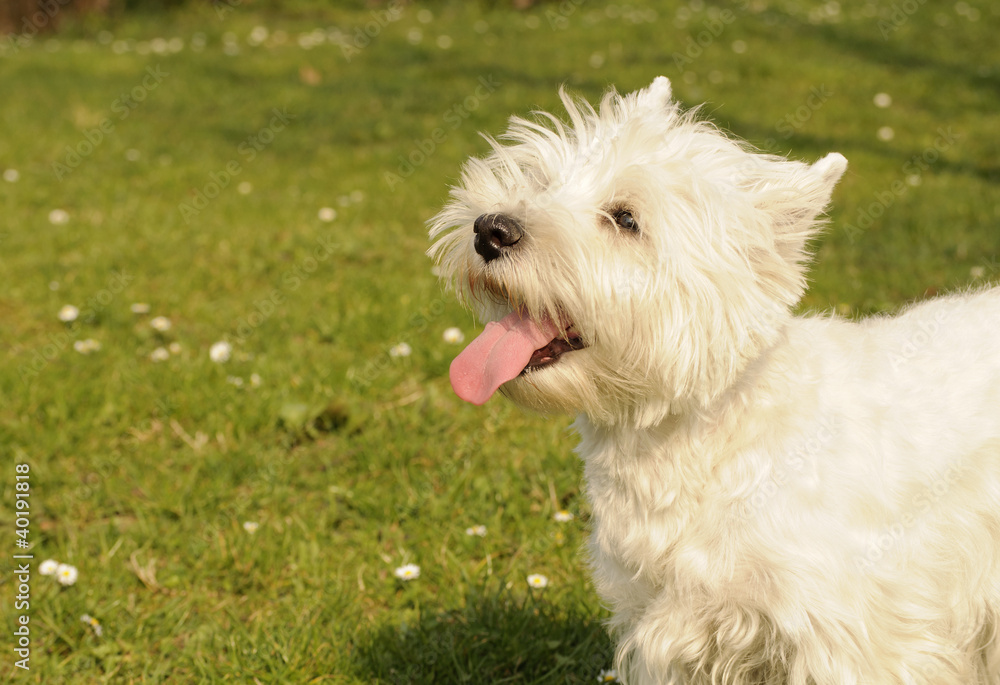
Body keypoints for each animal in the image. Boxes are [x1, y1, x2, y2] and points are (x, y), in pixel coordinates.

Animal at [428, 77, 1000, 680]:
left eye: (625, 218)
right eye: (539, 180)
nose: (490, 230)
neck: (701, 436)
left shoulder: (852, 638)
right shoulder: (670, 626)